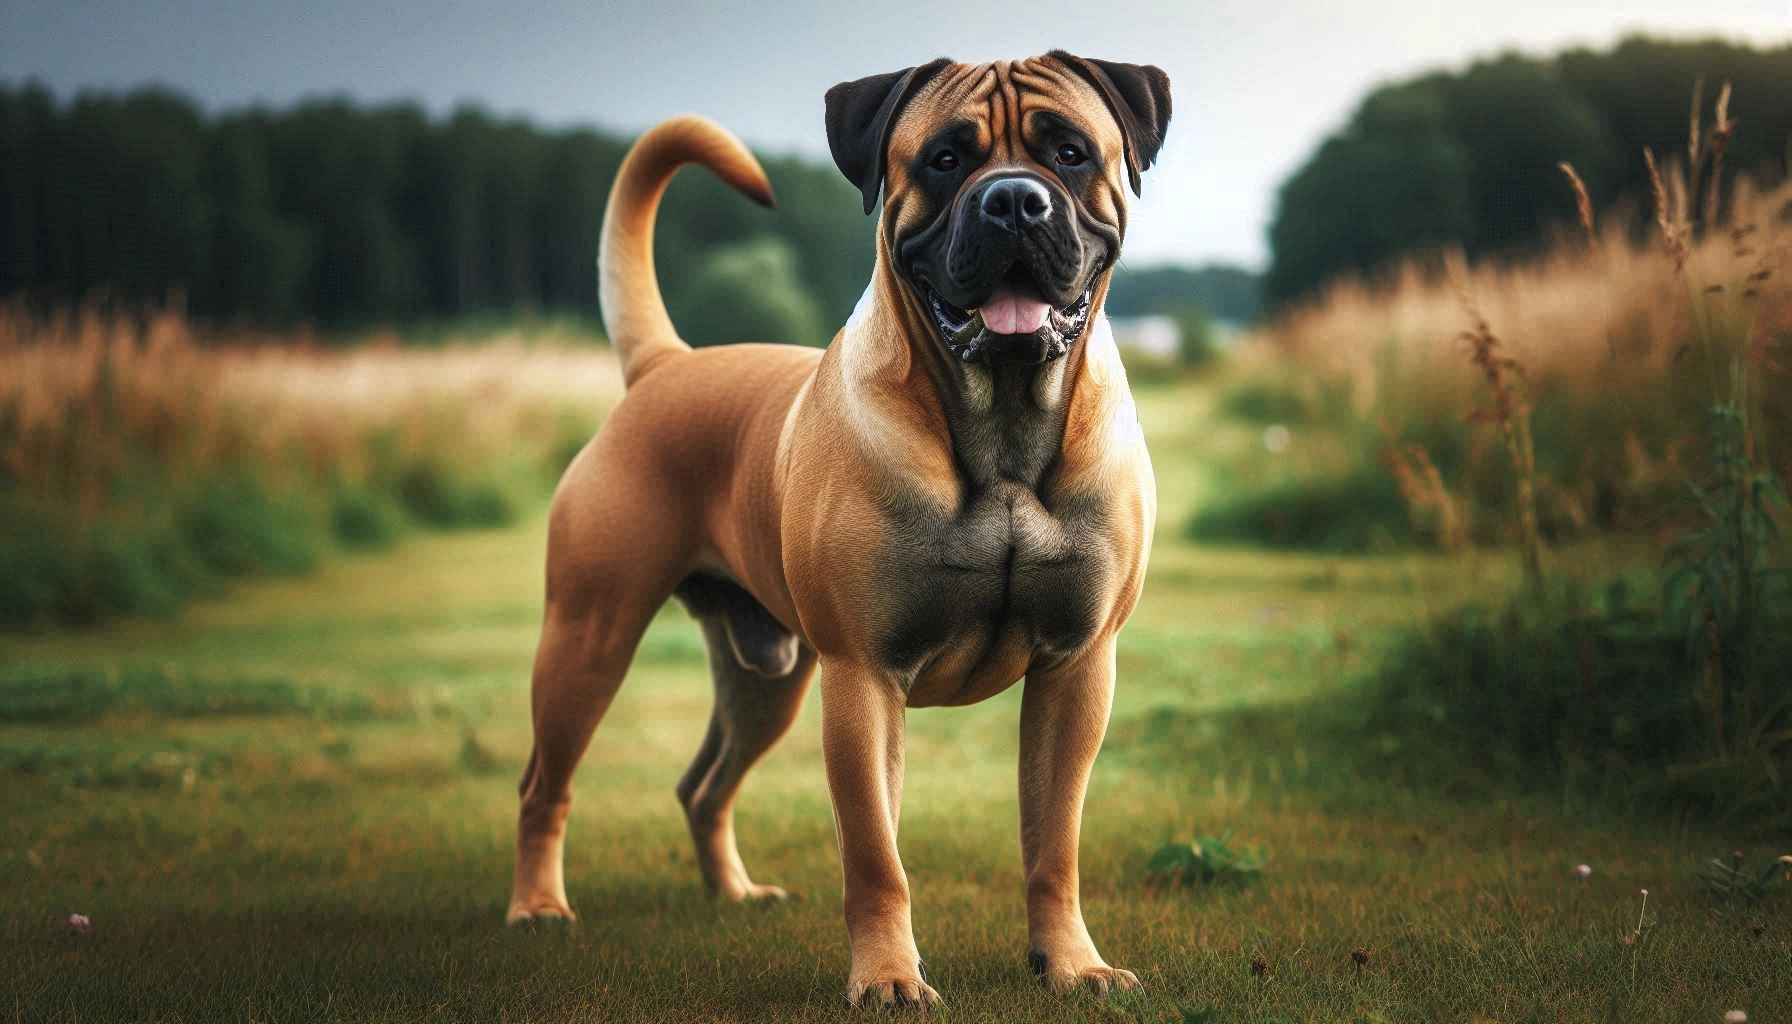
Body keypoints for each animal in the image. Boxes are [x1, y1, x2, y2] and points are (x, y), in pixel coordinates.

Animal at [508, 54, 1175, 1011]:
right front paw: (889, 978)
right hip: (587, 640)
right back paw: (537, 906)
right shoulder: (861, 677)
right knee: (544, 785)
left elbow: (1054, 844)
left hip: (768, 680)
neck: (1003, 426)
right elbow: (875, 853)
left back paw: (734, 892)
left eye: (1071, 152)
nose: (1014, 200)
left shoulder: (1075, 667)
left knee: (703, 785)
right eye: (943, 159)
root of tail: (667, 364)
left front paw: (1073, 966)